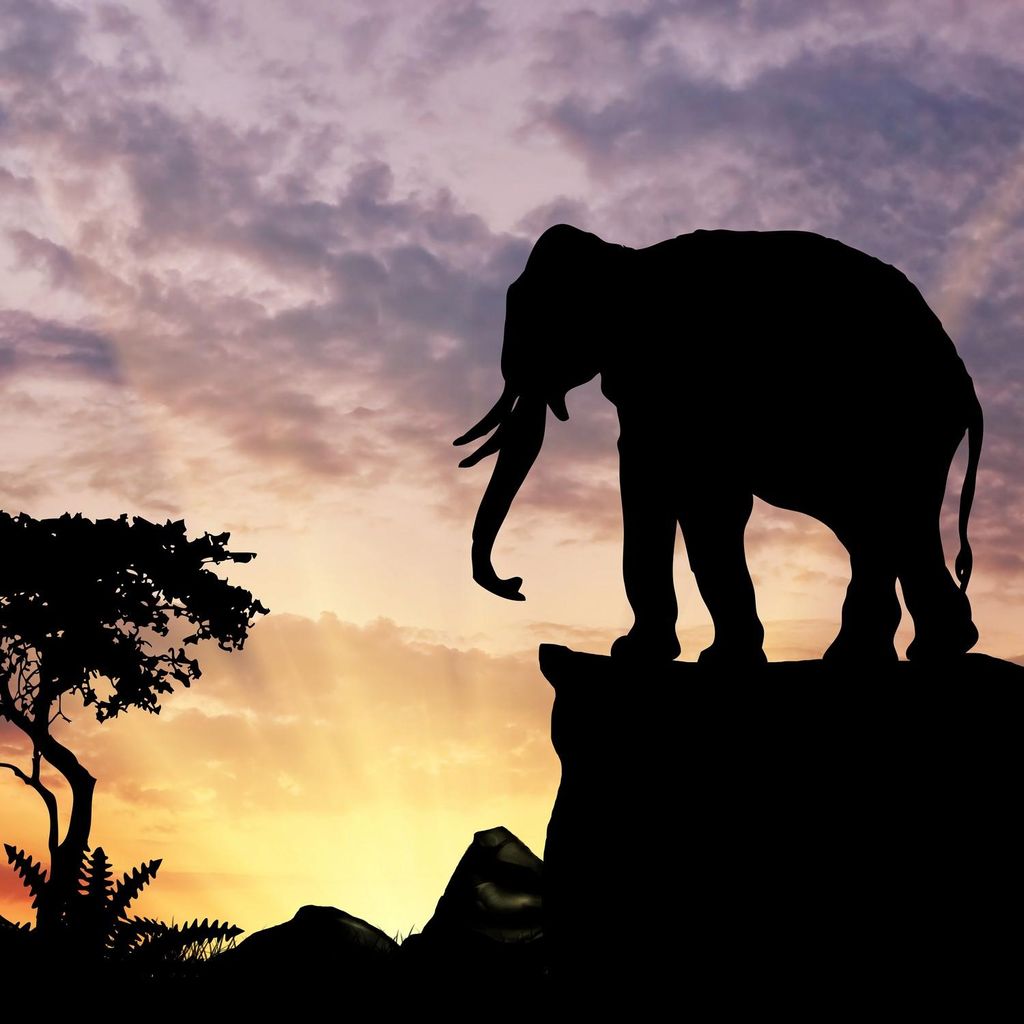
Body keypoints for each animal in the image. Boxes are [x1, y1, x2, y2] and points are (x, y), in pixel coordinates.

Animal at [454, 224, 983, 665]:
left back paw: (894, 653)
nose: (517, 586)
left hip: (897, 426)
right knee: (883, 525)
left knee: (885, 520)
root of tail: (965, 381)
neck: (625, 258)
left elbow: (686, 492)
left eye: (533, 324)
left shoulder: (675, 377)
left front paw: (646, 653)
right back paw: (910, 651)